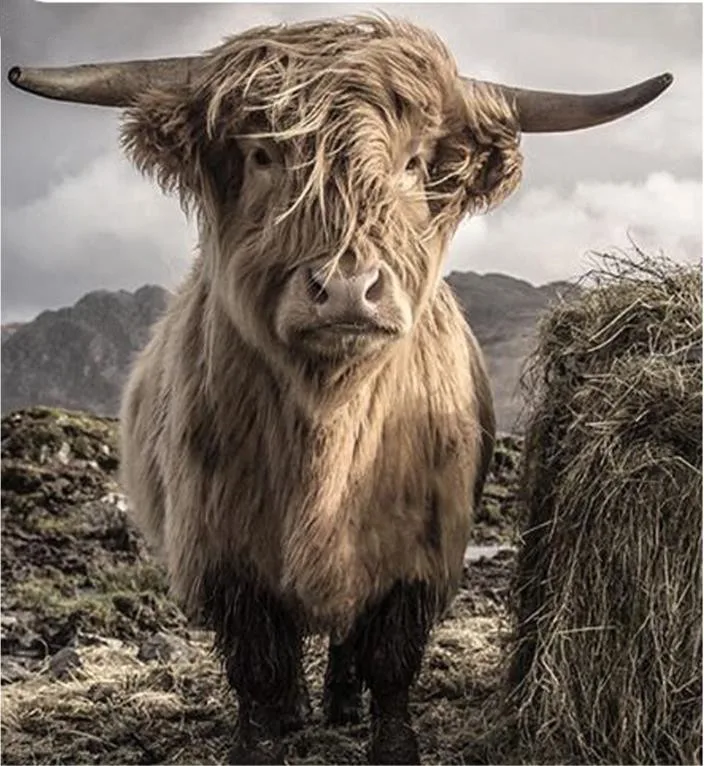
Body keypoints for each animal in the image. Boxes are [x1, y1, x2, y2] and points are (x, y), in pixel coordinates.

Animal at [9, 16, 672, 765]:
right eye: (263, 154)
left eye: (413, 163)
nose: (350, 287)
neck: (328, 419)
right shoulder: (224, 551)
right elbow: (260, 666)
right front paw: (261, 743)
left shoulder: (417, 552)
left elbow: (391, 658)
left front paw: (392, 744)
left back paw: (341, 703)